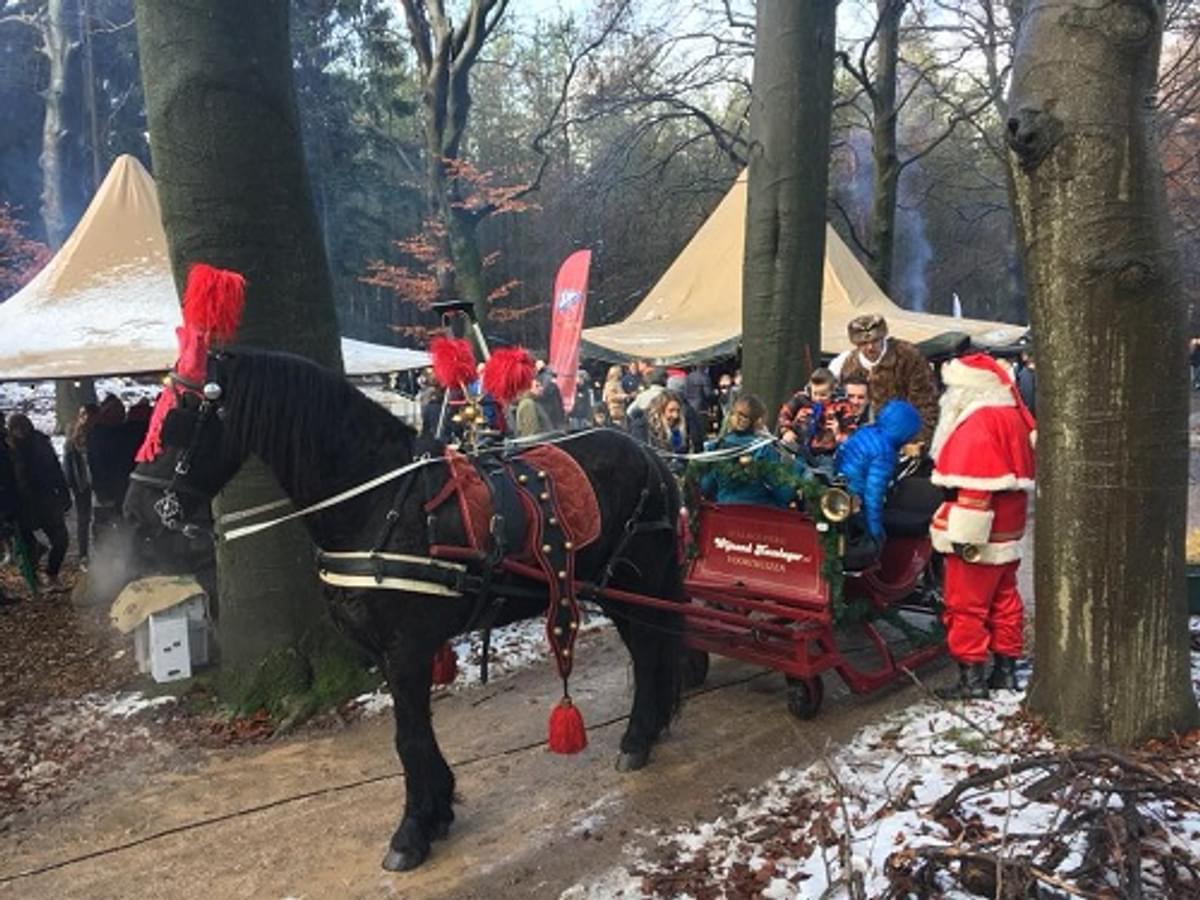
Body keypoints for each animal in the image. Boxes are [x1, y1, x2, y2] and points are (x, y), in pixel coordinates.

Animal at [124, 350, 686, 873]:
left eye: (180, 415)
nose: (135, 509)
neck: (380, 501)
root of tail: (648, 453)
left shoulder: (406, 649)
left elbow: (409, 738)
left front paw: (413, 830)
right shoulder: (386, 652)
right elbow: (413, 738)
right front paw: (436, 809)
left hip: (638, 582)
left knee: (650, 652)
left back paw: (638, 736)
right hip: (617, 590)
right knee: (651, 651)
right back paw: (651, 725)